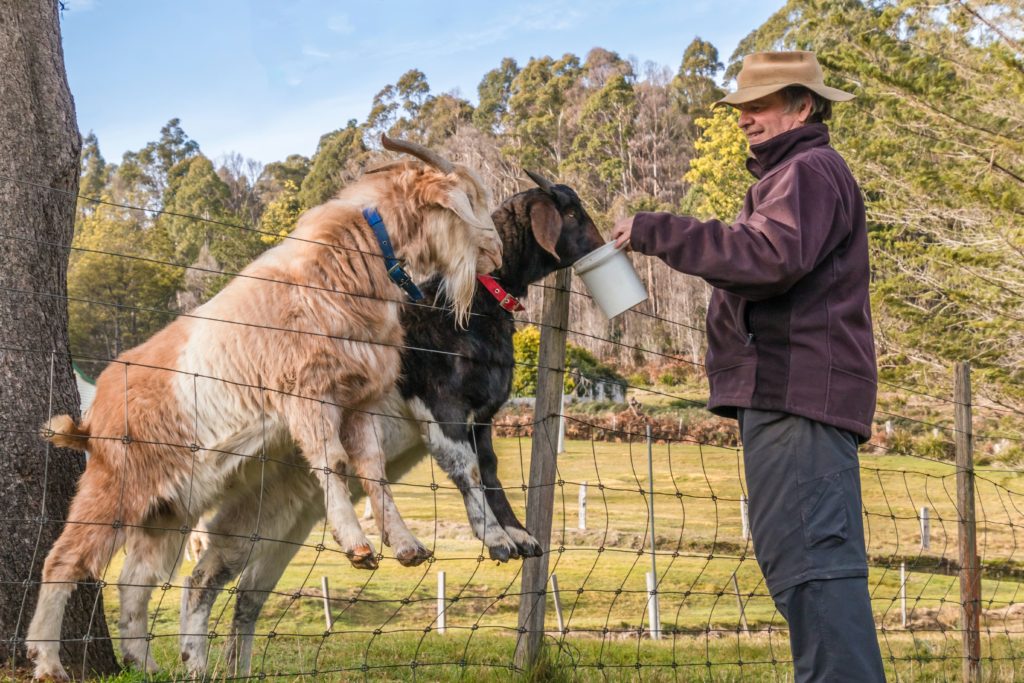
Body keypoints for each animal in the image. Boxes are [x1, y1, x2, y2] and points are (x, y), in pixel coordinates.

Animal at [25, 136, 501, 679]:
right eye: (471, 199)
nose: (495, 252)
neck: (345, 263)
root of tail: (93, 414)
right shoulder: (305, 391)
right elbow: (334, 463)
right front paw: (356, 545)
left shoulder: (359, 398)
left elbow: (373, 470)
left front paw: (404, 546)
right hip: (115, 483)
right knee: (64, 560)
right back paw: (47, 661)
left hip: (167, 508)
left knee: (135, 579)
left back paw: (143, 662)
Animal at [180, 174, 602, 675]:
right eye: (571, 212)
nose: (607, 245)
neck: (470, 299)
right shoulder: (440, 404)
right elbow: (467, 471)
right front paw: (496, 539)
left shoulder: (482, 416)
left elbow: (492, 472)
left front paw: (519, 534)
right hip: (251, 515)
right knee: (202, 580)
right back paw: (194, 665)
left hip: (282, 524)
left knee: (245, 596)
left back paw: (233, 669)